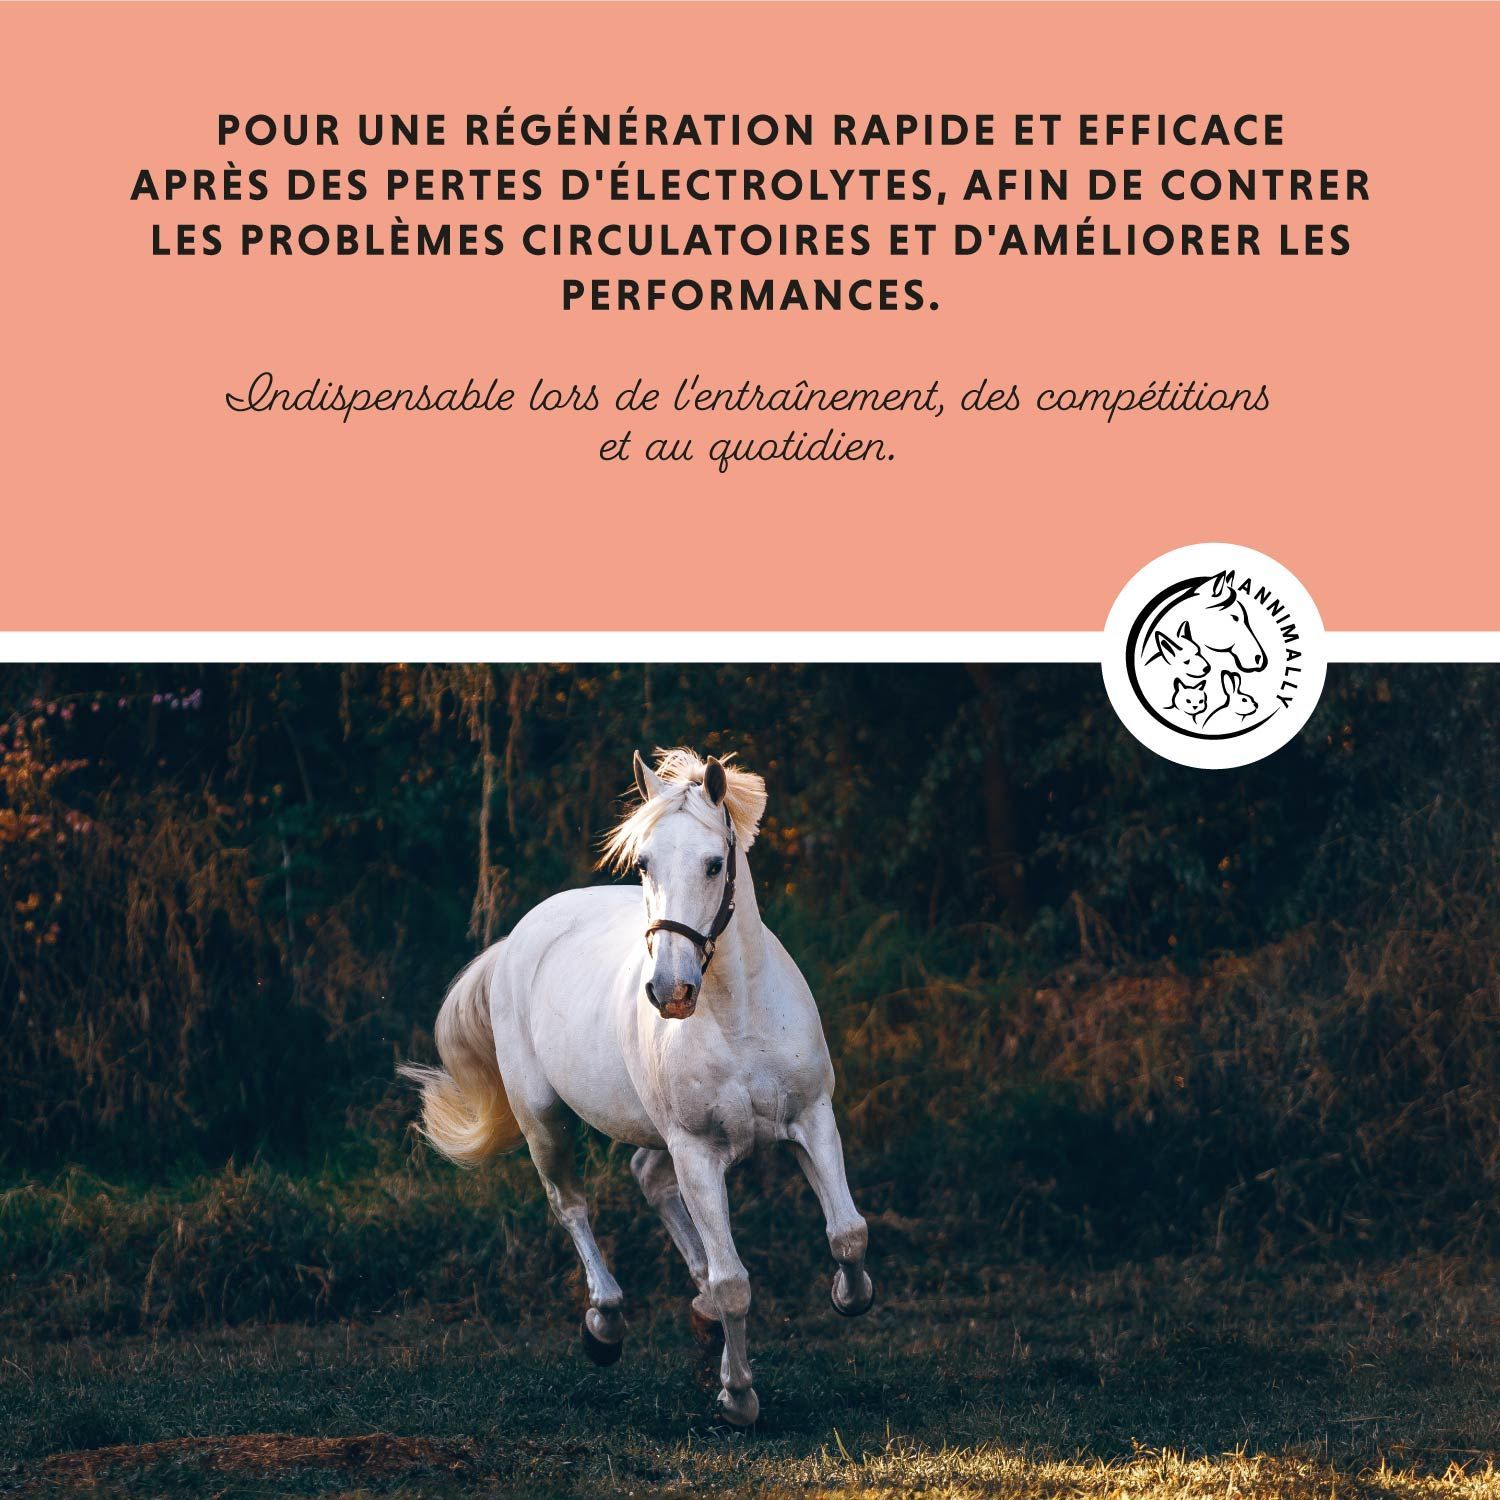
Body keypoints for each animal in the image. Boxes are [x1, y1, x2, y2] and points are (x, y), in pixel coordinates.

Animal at [400, 747, 872, 1427]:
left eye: (714, 863)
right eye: (644, 862)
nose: (669, 990)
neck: (739, 1016)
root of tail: (519, 938)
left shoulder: (812, 1119)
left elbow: (847, 1234)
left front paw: (844, 1295)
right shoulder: (697, 1150)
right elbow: (734, 1282)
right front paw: (738, 1397)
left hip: (656, 1132)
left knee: (647, 1177)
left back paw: (697, 1315)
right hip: (544, 1119)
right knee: (571, 1205)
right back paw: (605, 1324)